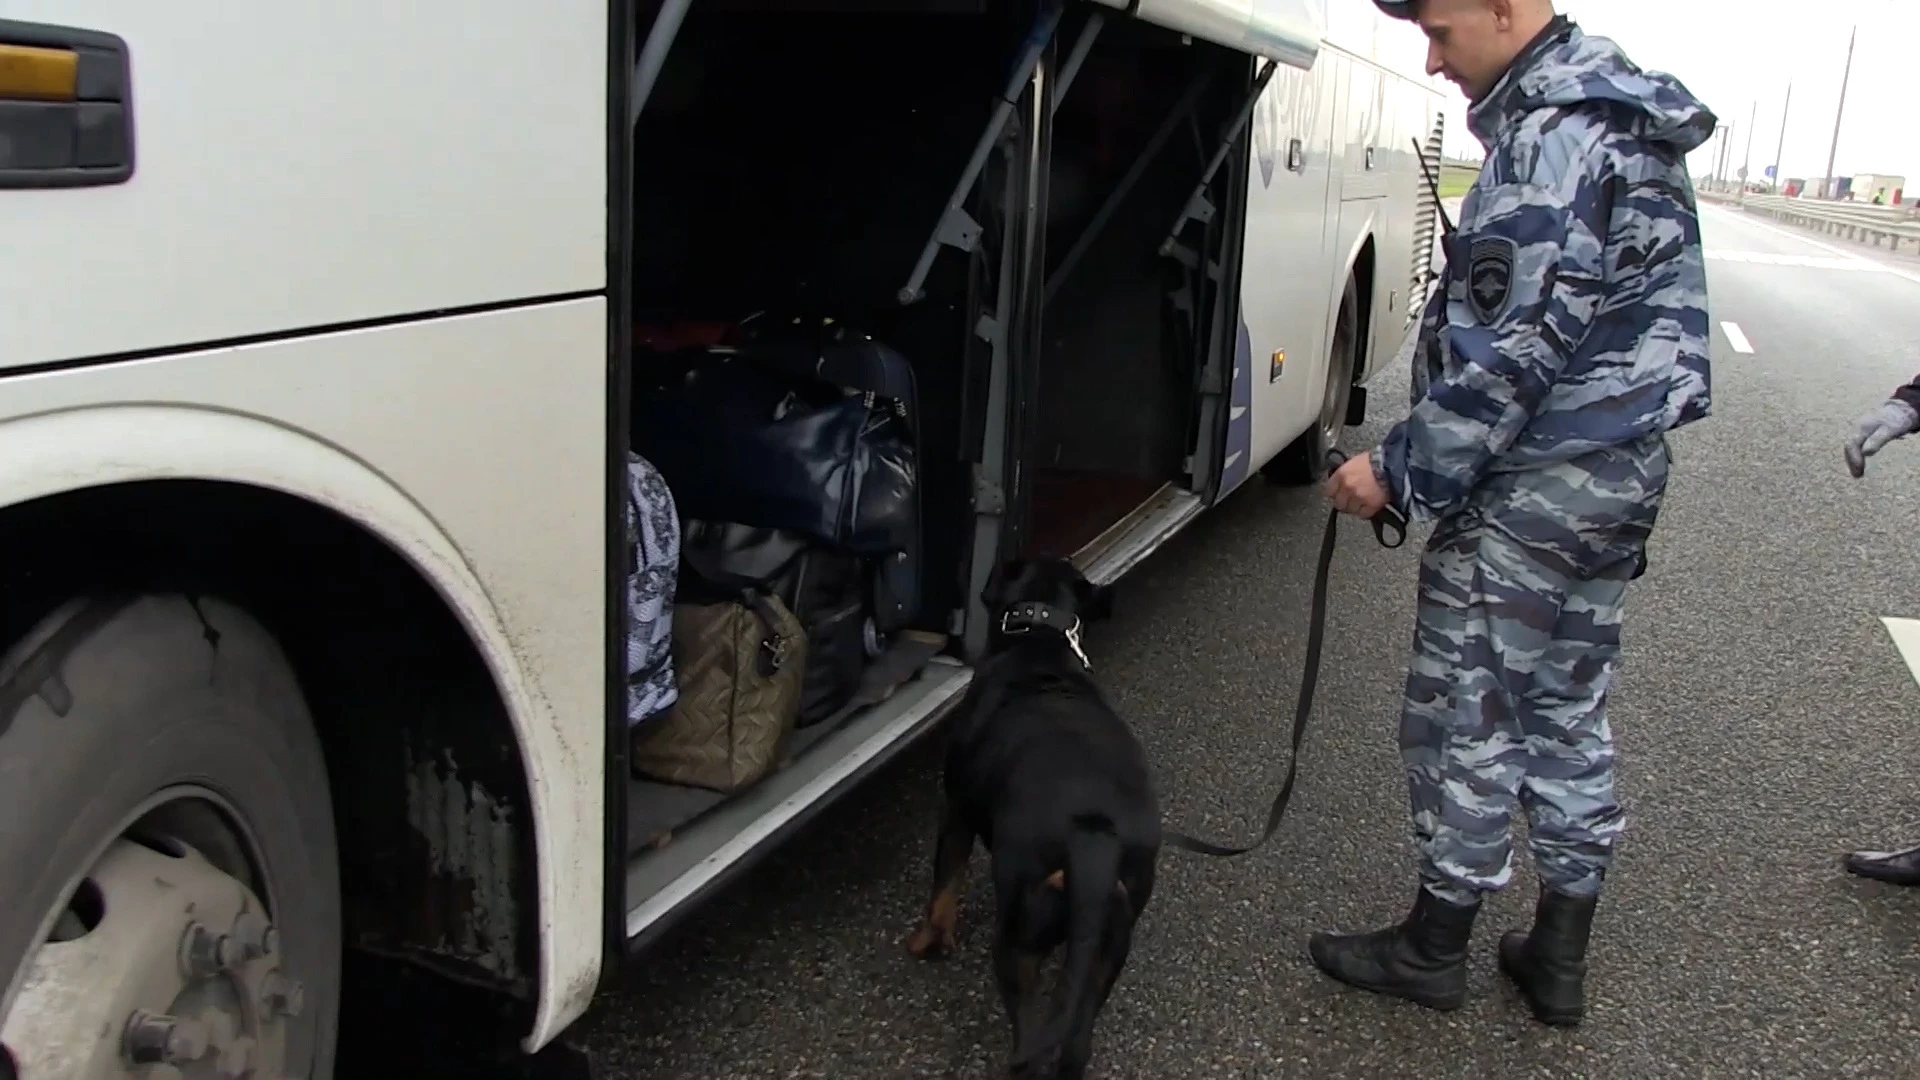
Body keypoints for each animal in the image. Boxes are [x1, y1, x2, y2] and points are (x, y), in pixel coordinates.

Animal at [906, 553, 1159, 1076]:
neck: (1040, 645)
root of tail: (1093, 838)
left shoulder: (956, 809)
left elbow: (944, 885)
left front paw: (927, 943)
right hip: (1108, 951)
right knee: (1075, 1044)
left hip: (1018, 938)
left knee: (1030, 1041)